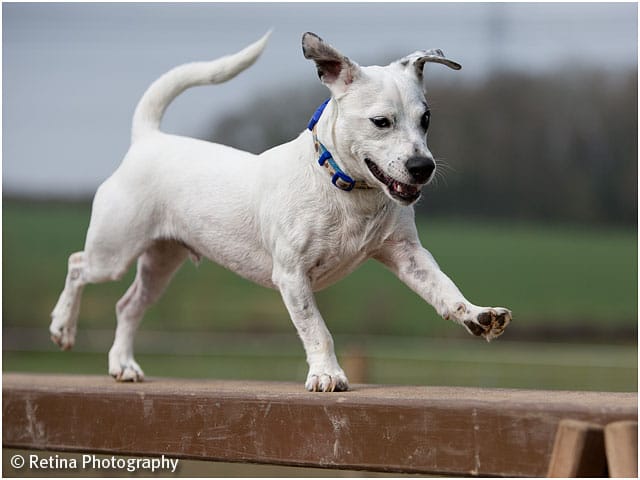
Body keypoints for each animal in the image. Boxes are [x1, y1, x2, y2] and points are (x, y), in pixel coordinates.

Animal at [48, 34, 510, 394]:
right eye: (381, 121)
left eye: (426, 119)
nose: (422, 167)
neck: (344, 189)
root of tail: (149, 139)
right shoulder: (291, 276)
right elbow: (317, 329)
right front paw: (327, 375)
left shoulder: (409, 256)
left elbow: (444, 290)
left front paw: (477, 315)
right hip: (114, 250)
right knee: (76, 265)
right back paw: (63, 328)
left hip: (161, 262)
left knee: (127, 306)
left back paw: (122, 365)